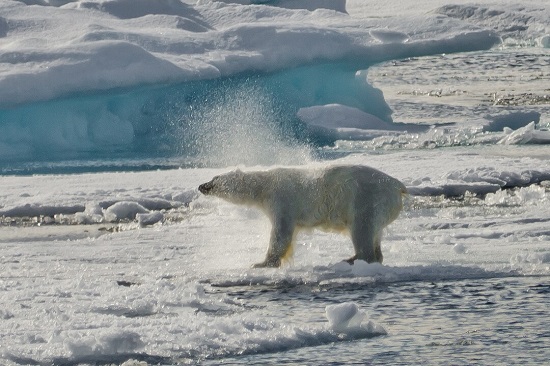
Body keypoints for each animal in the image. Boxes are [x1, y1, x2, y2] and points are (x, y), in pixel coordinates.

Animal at [201, 166, 408, 268]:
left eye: (214, 180)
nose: (201, 186)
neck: (265, 186)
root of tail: (398, 185)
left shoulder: (282, 200)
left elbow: (281, 233)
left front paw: (262, 263)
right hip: (379, 208)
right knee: (375, 233)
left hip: (366, 198)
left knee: (361, 229)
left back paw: (350, 259)